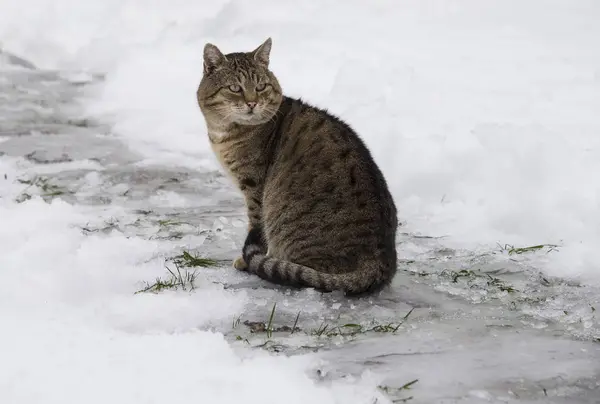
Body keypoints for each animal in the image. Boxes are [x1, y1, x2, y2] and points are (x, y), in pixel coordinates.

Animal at [195, 38, 396, 296]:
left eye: (261, 87)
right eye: (235, 88)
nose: (252, 103)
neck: (225, 132)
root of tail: (380, 263)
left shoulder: (254, 187)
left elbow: (255, 224)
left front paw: (246, 261)